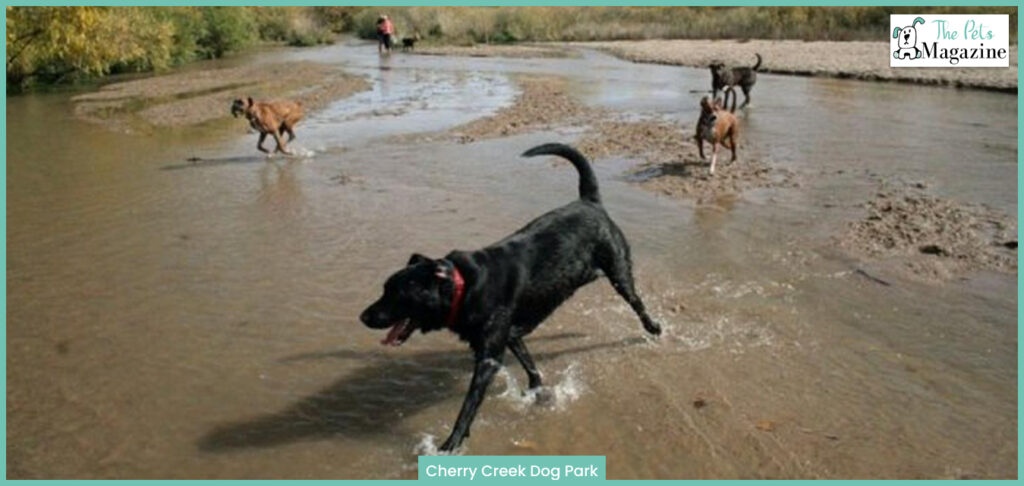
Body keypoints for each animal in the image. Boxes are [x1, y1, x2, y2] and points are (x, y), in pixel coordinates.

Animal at [360, 143, 663, 452]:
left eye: (397, 294)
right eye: (384, 289)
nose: (363, 316)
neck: (463, 287)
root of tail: (589, 202)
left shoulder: (489, 358)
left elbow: (468, 407)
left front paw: (451, 443)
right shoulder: (511, 335)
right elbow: (531, 368)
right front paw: (539, 394)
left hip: (618, 269)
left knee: (636, 301)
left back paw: (653, 327)